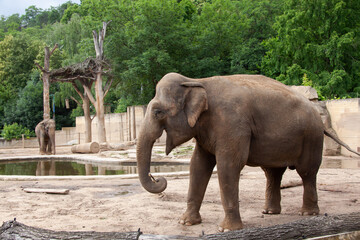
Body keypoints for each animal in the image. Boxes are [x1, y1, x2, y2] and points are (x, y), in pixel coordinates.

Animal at [136, 72, 360, 231]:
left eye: (158, 112)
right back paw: (269, 212)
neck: (196, 81)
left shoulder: (232, 123)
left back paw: (307, 214)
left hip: (311, 137)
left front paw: (227, 230)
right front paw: (186, 223)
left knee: (307, 172)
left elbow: (228, 165)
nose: (158, 178)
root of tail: (319, 116)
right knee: (273, 173)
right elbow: (198, 165)